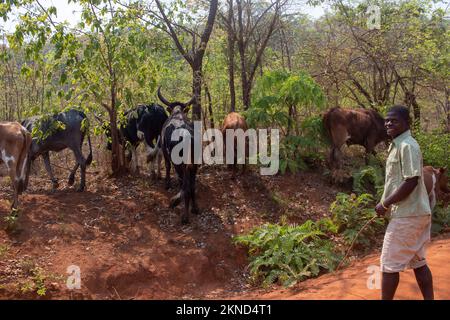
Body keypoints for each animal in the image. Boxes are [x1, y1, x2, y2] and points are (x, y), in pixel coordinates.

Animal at [159, 86, 200, 224]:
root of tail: (187, 135)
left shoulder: (165, 152)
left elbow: (167, 166)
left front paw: (167, 184)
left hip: (179, 164)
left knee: (185, 185)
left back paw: (185, 216)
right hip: (194, 164)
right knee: (191, 186)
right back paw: (195, 208)